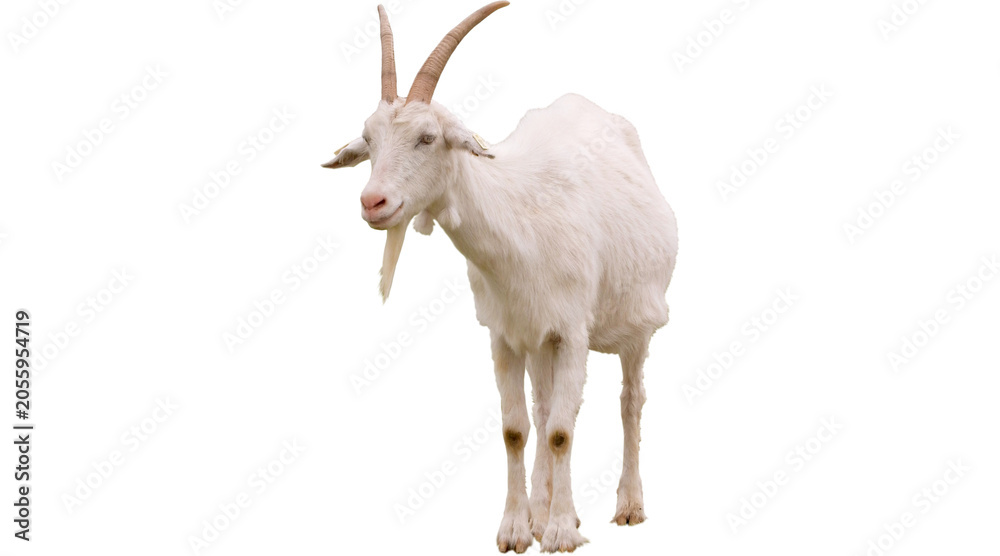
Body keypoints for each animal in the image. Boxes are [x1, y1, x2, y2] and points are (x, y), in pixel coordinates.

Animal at [323, 3, 677, 552]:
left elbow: (561, 430)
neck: (521, 223)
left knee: (628, 402)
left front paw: (560, 532)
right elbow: (517, 427)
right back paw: (543, 509)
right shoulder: (506, 333)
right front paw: (518, 528)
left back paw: (628, 506)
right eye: (370, 140)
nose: (373, 202)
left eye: (427, 138)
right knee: (543, 406)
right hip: (538, 342)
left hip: (638, 322)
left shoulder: (571, 331)